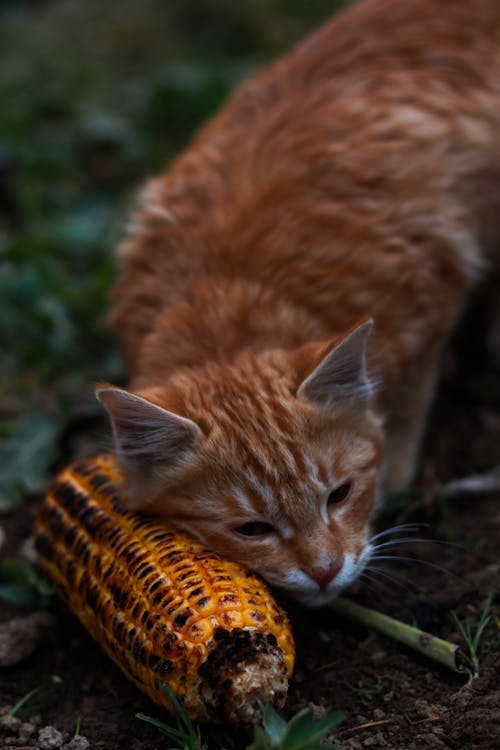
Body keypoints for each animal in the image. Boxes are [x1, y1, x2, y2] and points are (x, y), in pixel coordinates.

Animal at [95, 0, 498, 608]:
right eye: (252, 529)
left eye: (340, 494)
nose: (326, 571)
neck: (228, 290)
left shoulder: (436, 287)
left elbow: (406, 410)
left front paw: (396, 469)